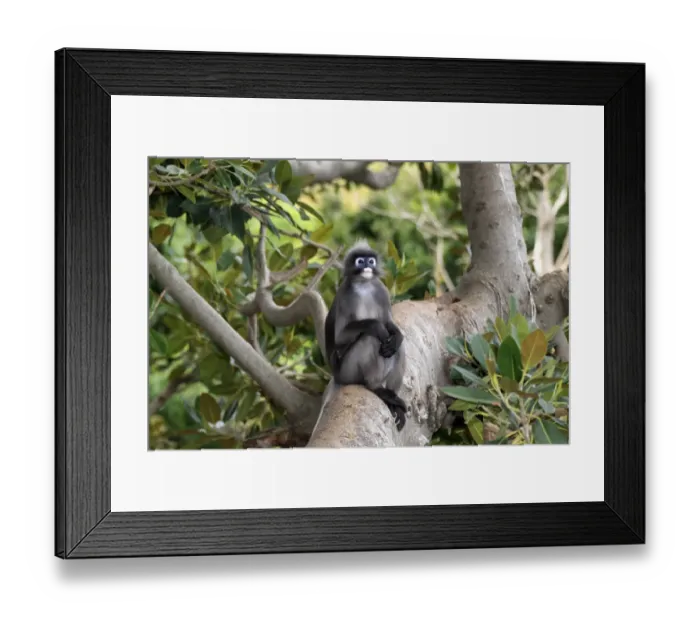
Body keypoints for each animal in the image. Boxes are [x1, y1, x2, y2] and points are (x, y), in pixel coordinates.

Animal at [323, 240, 408, 431]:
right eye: (360, 261)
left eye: (371, 261)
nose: (367, 266)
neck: (364, 285)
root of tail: (336, 376)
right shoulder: (346, 295)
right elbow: (340, 338)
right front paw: (376, 326)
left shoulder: (381, 290)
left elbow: (389, 324)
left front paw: (396, 335)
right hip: (348, 372)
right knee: (369, 339)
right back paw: (376, 388)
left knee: (398, 348)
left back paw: (393, 398)